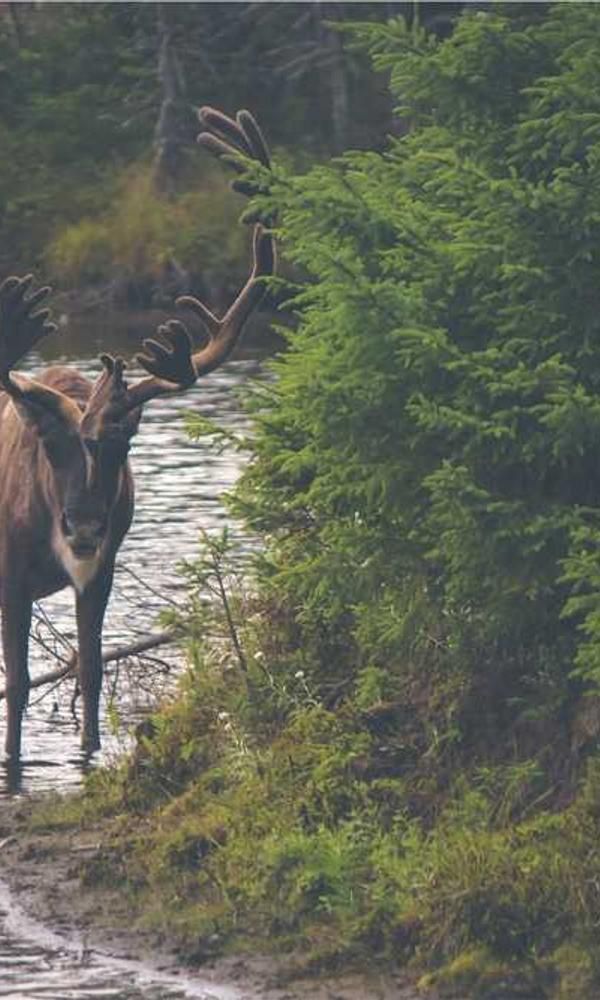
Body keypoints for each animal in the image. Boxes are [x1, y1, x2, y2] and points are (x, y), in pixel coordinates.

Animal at [0, 107, 276, 756]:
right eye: (47, 443)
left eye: (121, 443)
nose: (83, 527)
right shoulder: (9, 576)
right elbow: (19, 685)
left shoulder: (100, 572)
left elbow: (91, 669)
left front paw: (90, 752)